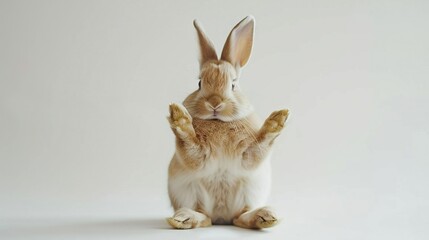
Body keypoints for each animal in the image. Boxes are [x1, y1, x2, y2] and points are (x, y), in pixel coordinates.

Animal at [166, 15, 290, 230]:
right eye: (199, 83)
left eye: (233, 84)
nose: (215, 103)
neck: (219, 123)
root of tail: (221, 218)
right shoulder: (196, 156)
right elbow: (190, 146)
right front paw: (179, 118)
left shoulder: (248, 154)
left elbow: (259, 147)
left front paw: (277, 120)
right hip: (191, 192)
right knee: (205, 217)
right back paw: (183, 218)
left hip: (248, 191)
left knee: (240, 217)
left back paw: (265, 216)